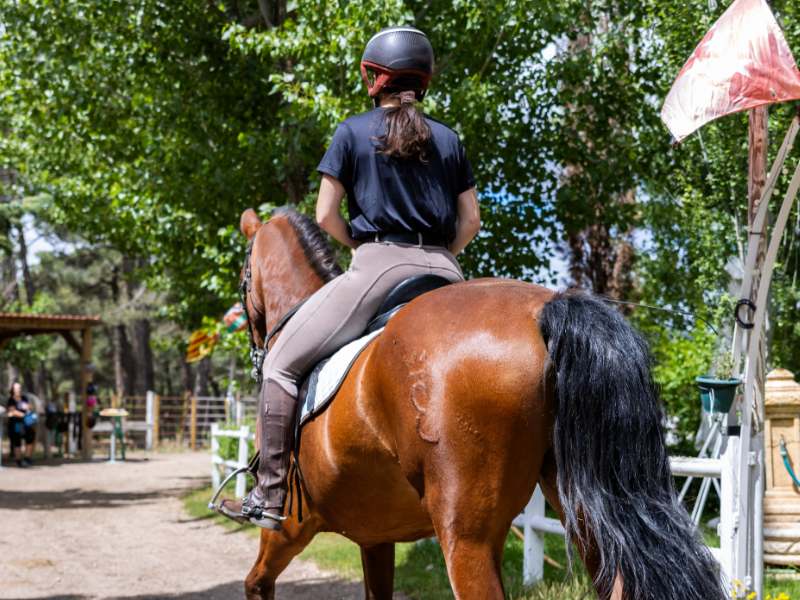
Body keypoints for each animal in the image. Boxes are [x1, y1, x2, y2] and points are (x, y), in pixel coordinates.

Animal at [235, 206, 725, 600]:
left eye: (243, 275)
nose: (256, 351)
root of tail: (544, 309)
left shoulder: (290, 527)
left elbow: (257, 582)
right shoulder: (376, 536)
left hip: (466, 537)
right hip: (585, 507)